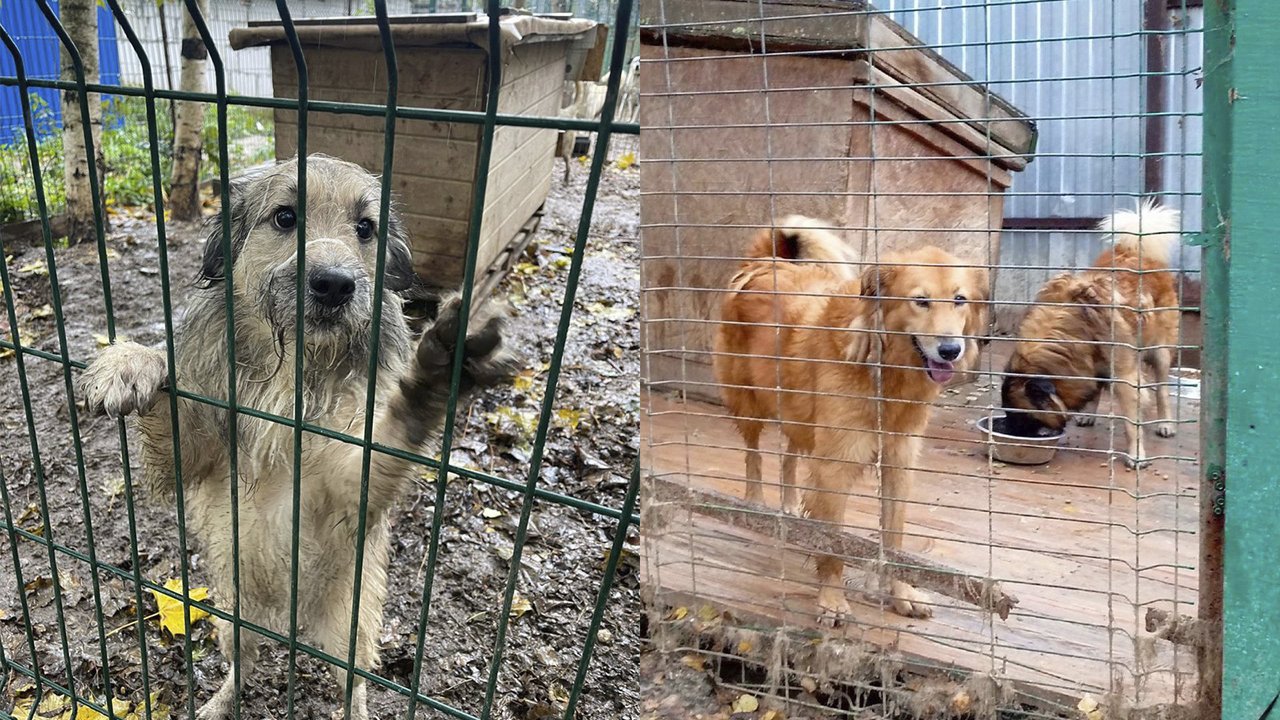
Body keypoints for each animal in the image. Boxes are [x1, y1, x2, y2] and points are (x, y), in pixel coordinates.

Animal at [77, 154, 509, 717]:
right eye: (285, 217)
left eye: (365, 228)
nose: (335, 284)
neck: (292, 373)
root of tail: (289, 617)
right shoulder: (191, 459)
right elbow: (169, 396)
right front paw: (130, 361)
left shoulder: (339, 491)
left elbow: (389, 433)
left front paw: (433, 377)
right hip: (231, 613)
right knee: (243, 665)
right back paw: (220, 701)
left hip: (351, 625)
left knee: (354, 683)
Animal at [711, 215, 988, 620]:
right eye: (920, 301)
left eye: (959, 300)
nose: (951, 350)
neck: (885, 378)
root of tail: (764, 262)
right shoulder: (836, 466)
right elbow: (834, 541)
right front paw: (832, 599)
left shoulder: (898, 463)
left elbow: (895, 536)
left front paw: (902, 593)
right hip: (749, 402)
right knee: (754, 454)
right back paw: (755, 505)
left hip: (798, 413)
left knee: (789, 454)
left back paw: (790, 505)